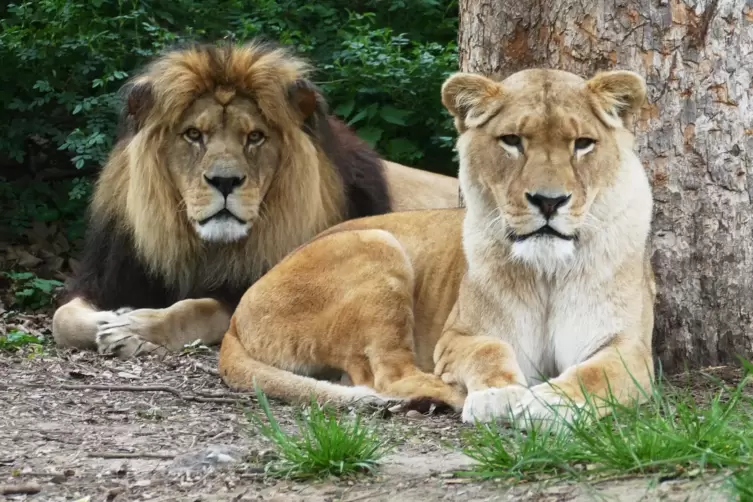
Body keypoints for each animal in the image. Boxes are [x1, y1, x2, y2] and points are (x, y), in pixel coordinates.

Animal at [51, 41, 458, 358]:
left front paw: (134, 328)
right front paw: (109, 317)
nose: (225, 181)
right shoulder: (108, 277)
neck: (204, 250)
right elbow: (61, 318)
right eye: (194, 134)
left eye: (255, 137)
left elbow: (196, 309)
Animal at [216, 66, 652, 426]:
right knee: (385, 376)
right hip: (378, 245)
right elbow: (489, 350)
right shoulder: (460, 335)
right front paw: (498, 395)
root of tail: (236, 316)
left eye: (583, 143)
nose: (548, 201)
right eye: (512, 141)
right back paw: (444, 396)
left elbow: (595, 374)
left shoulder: (629, 347)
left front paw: (548, 404)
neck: (547, 270)